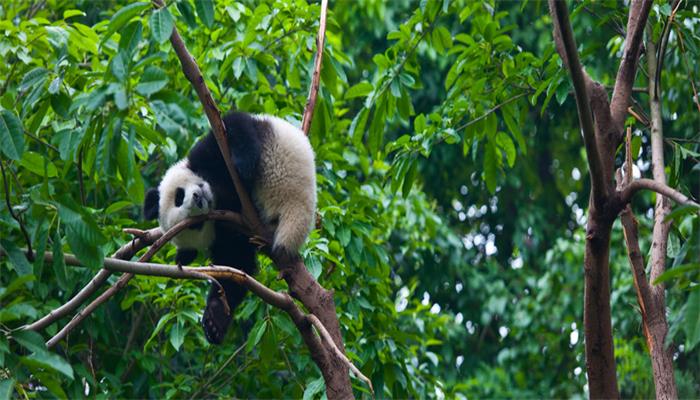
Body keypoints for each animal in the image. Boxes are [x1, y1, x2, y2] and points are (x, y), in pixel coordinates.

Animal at [145, 111, 318, 346]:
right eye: (195, 224)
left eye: (179, 196)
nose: (198, 198)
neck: (218, 193)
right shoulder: (227, 233)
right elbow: (235, 266)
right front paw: (214, 320)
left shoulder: (207, 155)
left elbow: (233, 125)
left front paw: (242, 165)